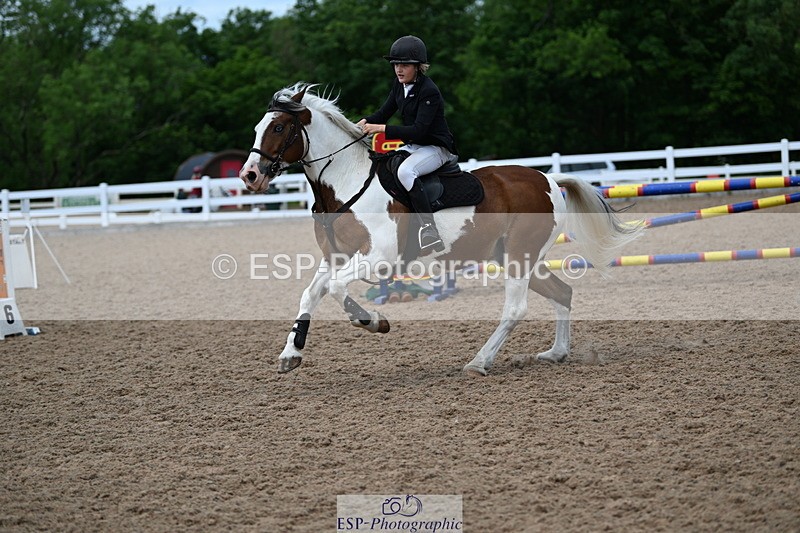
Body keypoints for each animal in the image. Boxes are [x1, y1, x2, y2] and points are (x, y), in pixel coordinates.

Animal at [239, 83, 642, 376]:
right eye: (258, 128)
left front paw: (372, 321)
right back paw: (556, 353)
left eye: (279, 127)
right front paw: (291, 354)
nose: (250, 176)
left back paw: (480, 362)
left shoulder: (379, 257)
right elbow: (310, 295)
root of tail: (548, 179)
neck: (346, 184)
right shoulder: (335, 257)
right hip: (516, 257)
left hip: (519, 257)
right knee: (562, 293)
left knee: (516, 308)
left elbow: (337, 289)